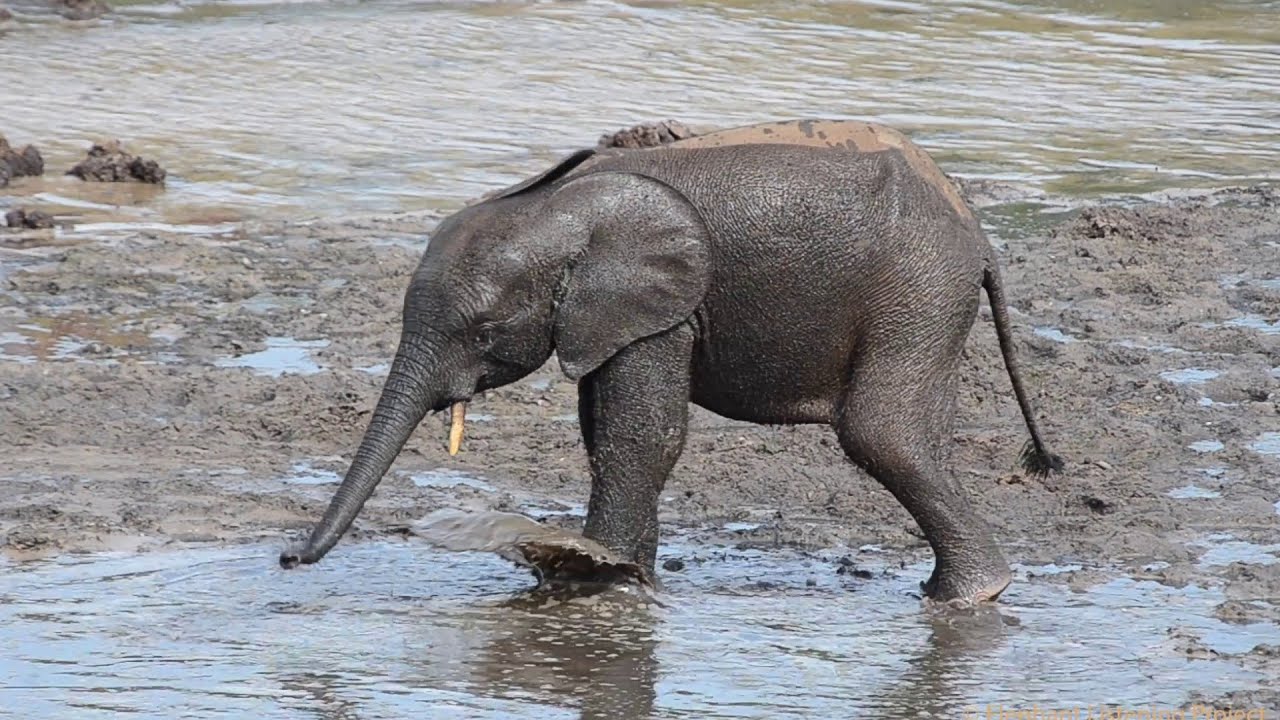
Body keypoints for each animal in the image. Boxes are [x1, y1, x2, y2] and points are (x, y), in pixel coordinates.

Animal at [285, 119, 1064, 604]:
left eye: (484, 333)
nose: (288, 559)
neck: (560, 203)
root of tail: (977, 232)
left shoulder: (666, 307)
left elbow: (642, 437)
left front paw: (593, 579)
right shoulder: (608, 319)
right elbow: (604, 432)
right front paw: (619, 575)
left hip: (917, 290)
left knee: (881, 433)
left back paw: (969, 596)